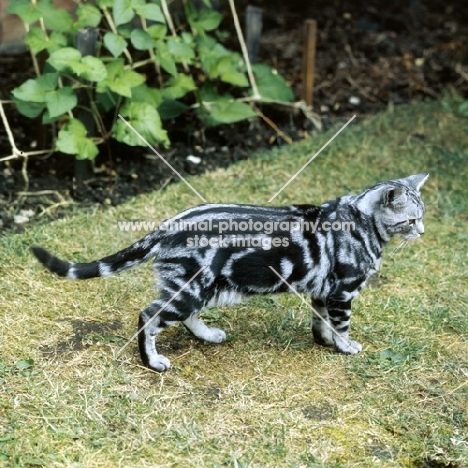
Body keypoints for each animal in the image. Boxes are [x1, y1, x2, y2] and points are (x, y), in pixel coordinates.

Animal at [32, 174, 428, 372]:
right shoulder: (343, 291)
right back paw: (152, 361)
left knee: (186, 317)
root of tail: (169, 224)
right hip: (191, 289)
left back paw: (208, 335)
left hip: (200, 288)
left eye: (422, 216)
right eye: (411, 220)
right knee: (148, 316)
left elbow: (321, 323)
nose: (423, 232)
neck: (361, 221)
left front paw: (325, 343)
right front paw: (345, 347)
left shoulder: (323, 291)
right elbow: (342, 325)